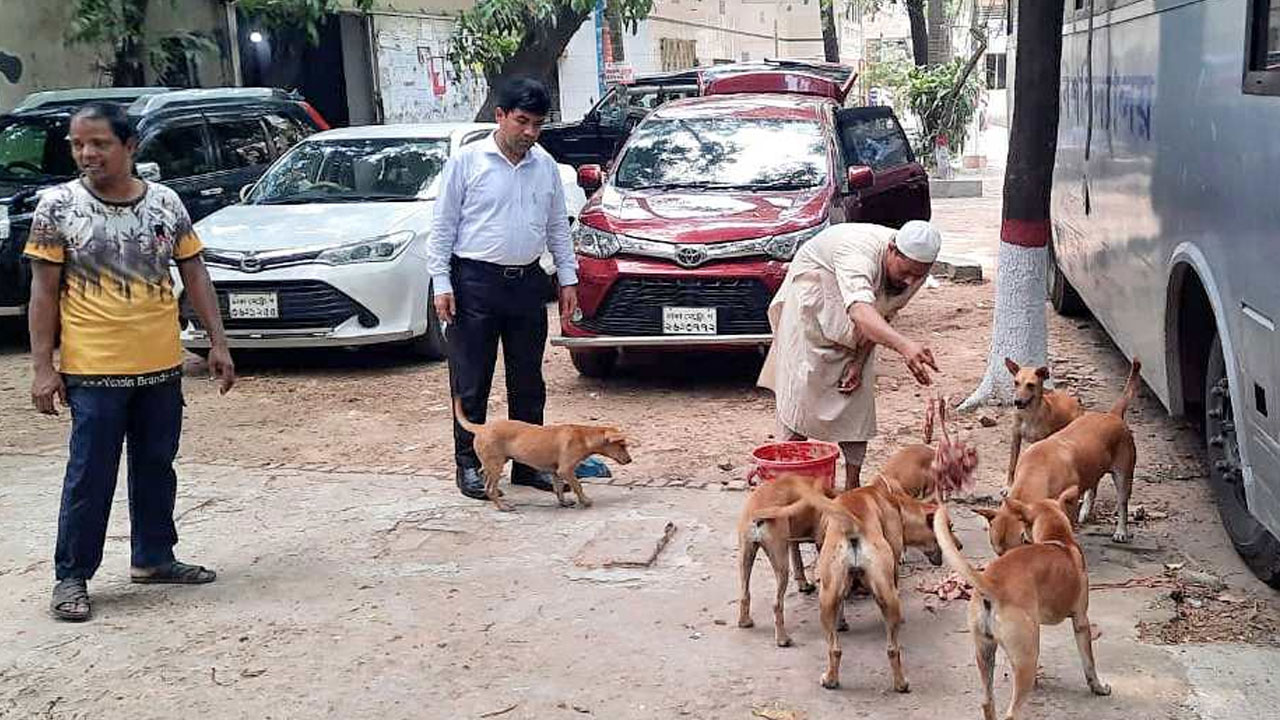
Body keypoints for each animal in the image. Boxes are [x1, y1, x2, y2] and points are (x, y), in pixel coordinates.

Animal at [453, 397, 632, 509]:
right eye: (622, 445)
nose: (630, 460)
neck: (583, 436)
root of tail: (481, 428)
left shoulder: (556, 471)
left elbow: (558, 489)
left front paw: (564, 503)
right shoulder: (566, 470)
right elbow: (578, 486)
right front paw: (585, 501)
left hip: (495, 462)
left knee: (483, 474)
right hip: (496, 465)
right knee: (489, 487)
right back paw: (502, 506)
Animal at [747, 476, 947, 691]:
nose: (958, 546)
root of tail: (853, 525)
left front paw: (841, 622)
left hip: (826, 598)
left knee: (835, 648)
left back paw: (831, 679)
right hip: (882, 596)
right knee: (892, 649)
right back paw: (899, 683)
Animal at [931, 486, 1111, 717]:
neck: (1058, 540)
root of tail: (992, 584)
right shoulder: (1081, 621)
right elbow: (1089, 663)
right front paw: (1098, 687)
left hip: (985, 653)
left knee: (987, 703)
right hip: (1026, 659)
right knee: (1011, 713)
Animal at [1003, 356, 1085, 484]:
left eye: (1030, 385)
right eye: (1016, 383)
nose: (1017, 401)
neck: (1028, 414)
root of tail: (1076, 401)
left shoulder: (1038, 441)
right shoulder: (1016, 438)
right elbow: (1012, 464)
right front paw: (1009, 484)